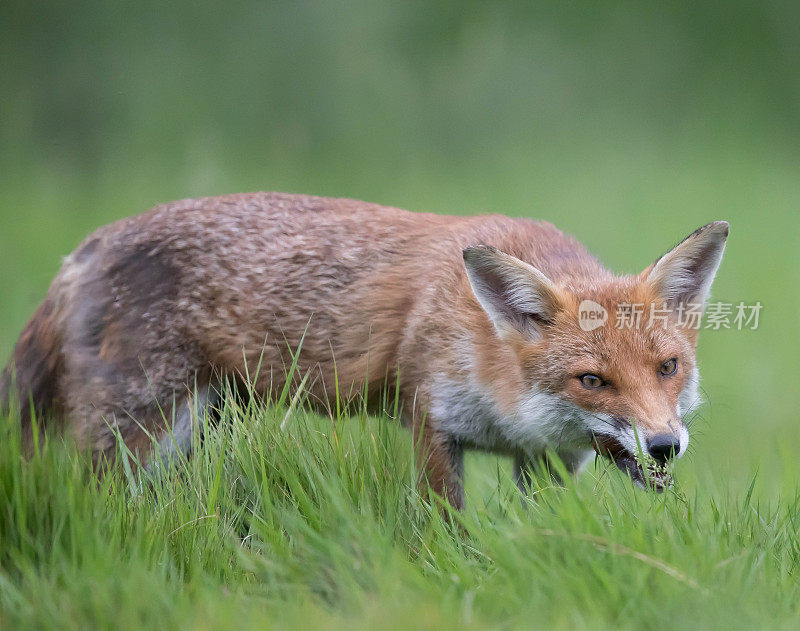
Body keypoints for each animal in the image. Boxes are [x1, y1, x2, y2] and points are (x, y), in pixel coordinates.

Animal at [0, 193, 728, 508]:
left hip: (192, 429)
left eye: (668, 368)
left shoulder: (546, 461)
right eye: (593, 380)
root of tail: (87, 246)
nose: (665, 445)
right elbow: (448, 531)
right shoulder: (432, 422)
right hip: (140, 437)